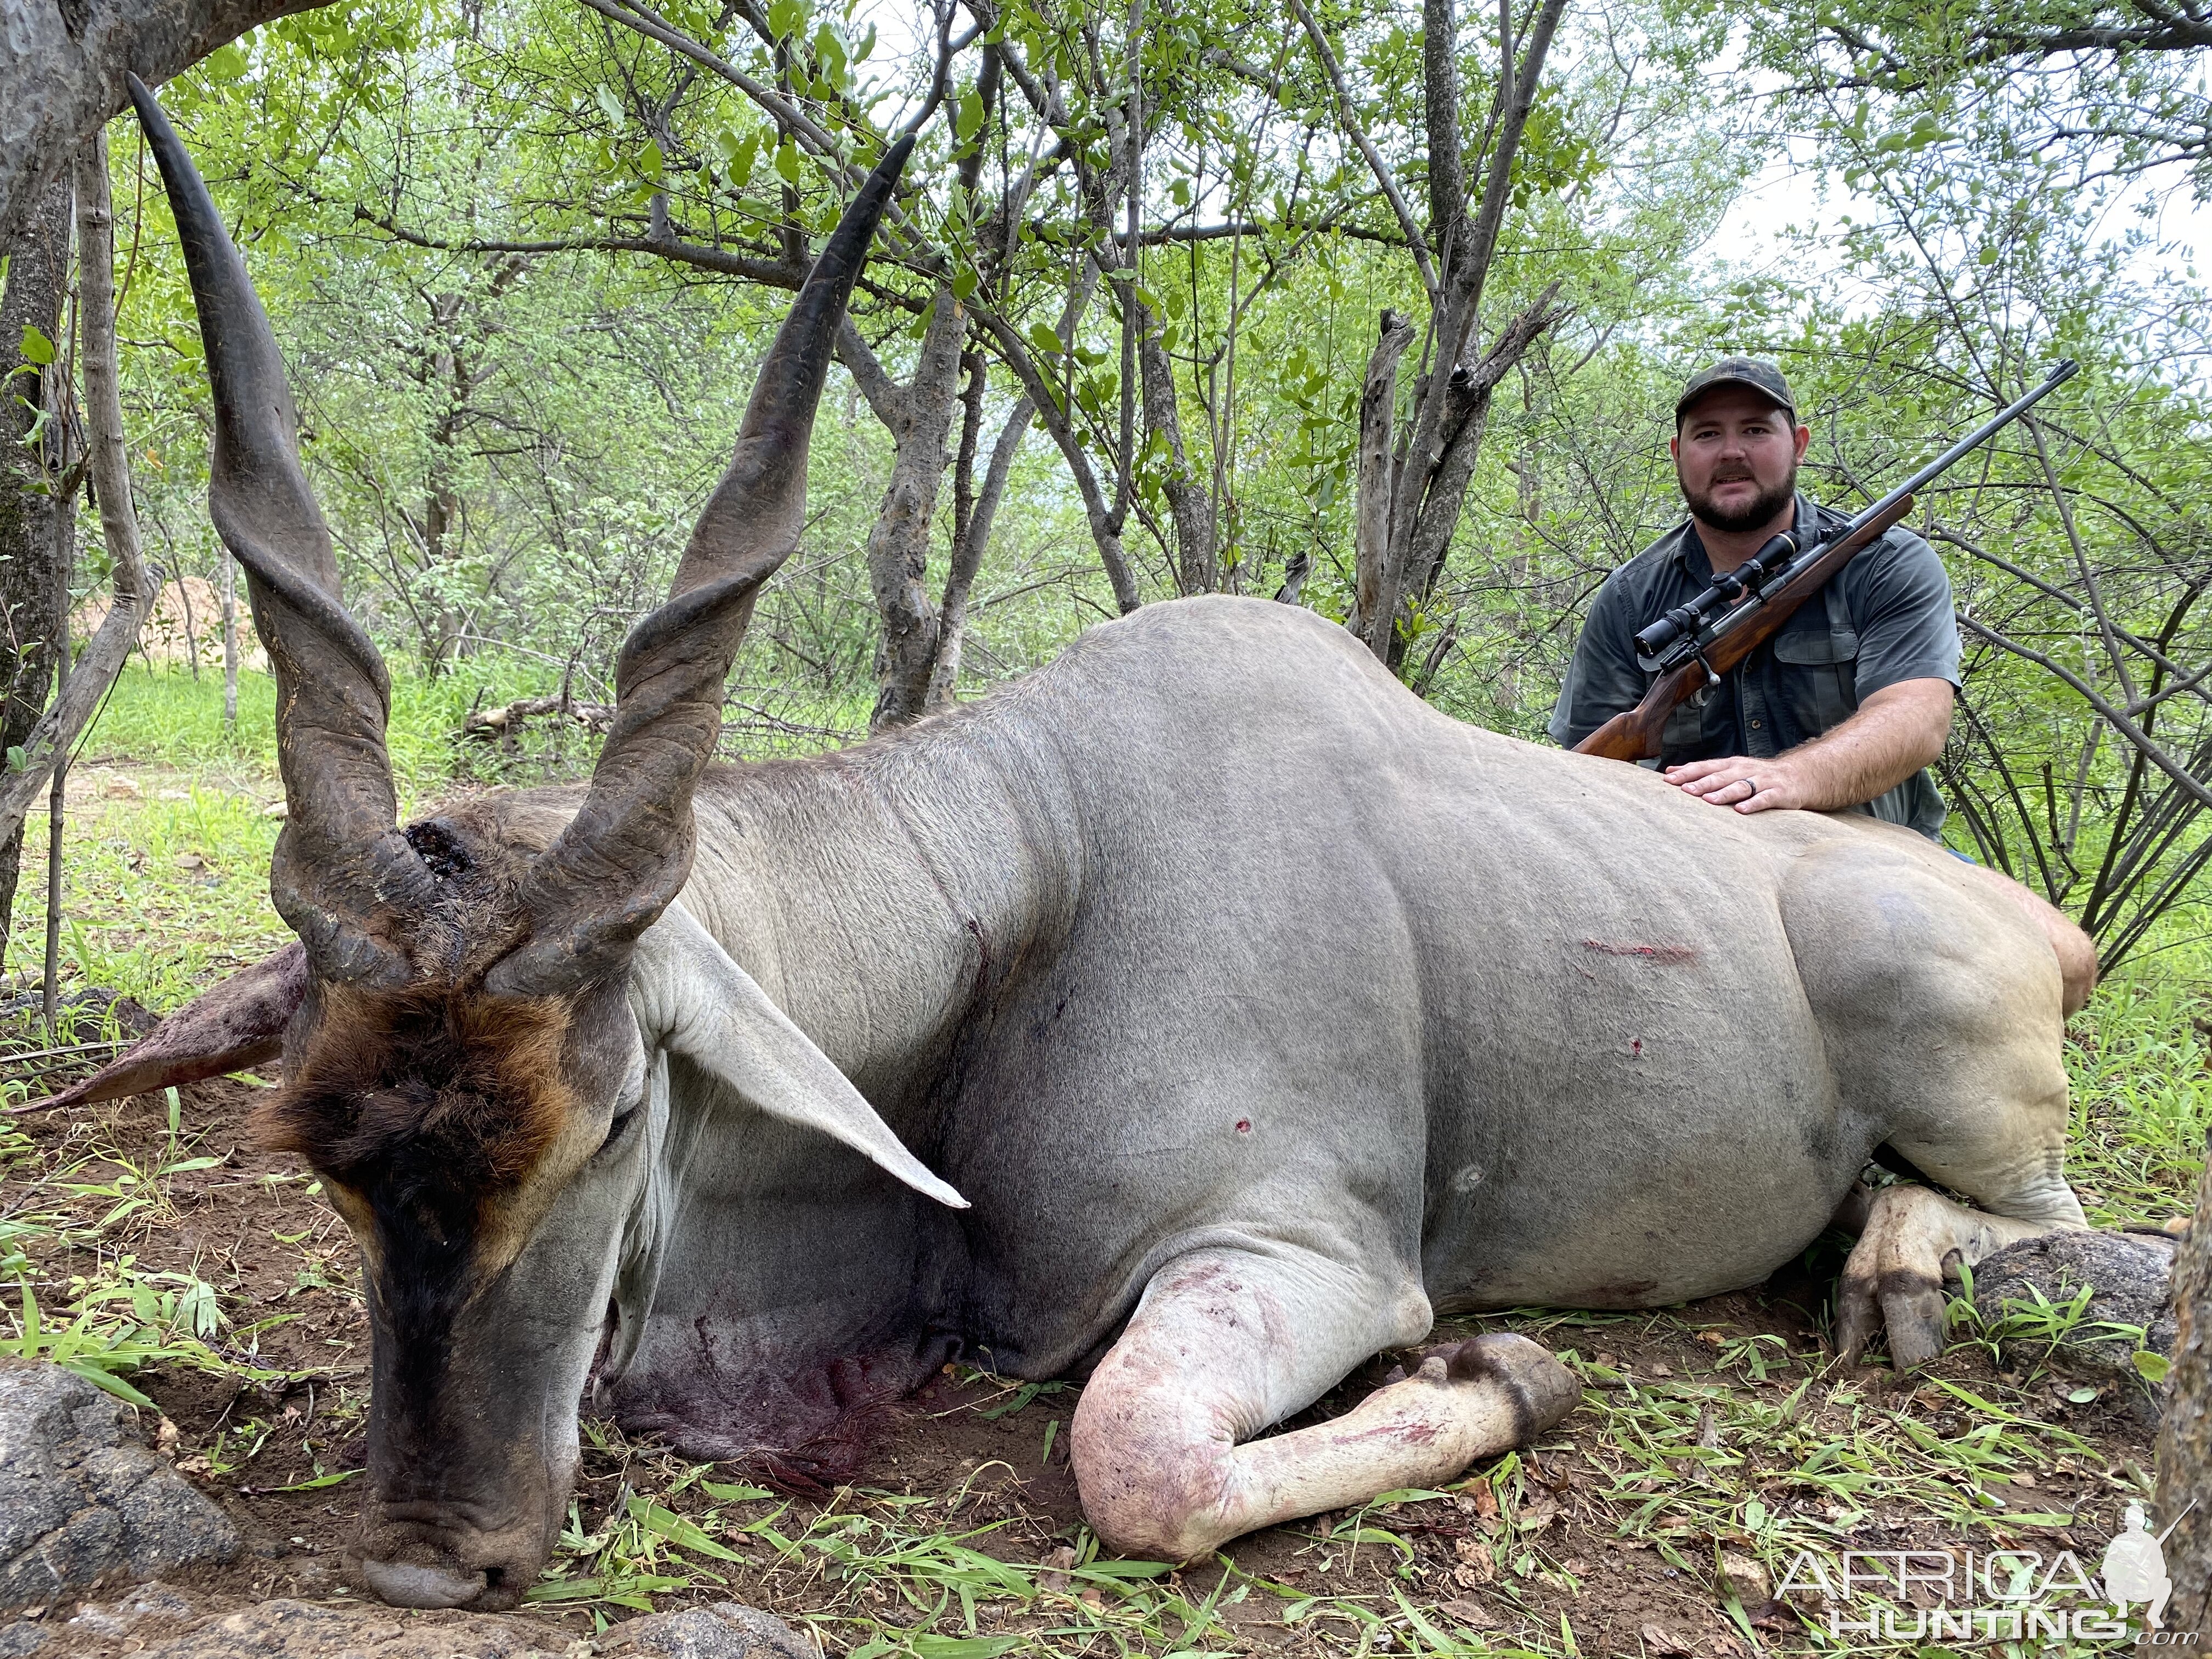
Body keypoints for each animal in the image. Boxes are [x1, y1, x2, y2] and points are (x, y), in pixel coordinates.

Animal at [69, 78, 2097, 1610]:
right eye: (321, 1156)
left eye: (622, 1113)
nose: (432, 1559)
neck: (1034, 890)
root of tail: (2042, 925)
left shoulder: (1310, 1252)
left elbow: (1140, 1463)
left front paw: (1512, 1368)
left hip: (1941, 1036)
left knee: (2053, 1221)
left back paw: (1890, 1270)